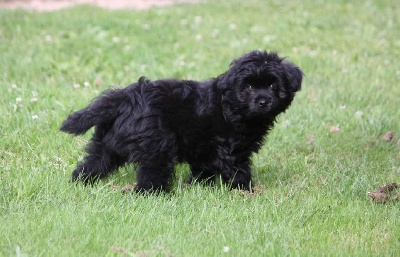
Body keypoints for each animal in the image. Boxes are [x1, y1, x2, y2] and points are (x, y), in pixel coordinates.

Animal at [61, 50, 302, 191]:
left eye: (272, 85)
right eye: (249, 86)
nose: (263, 101)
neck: (230, 103)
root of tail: (126, 97)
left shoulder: (205, 149)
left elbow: (203, 169)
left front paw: (198, 186)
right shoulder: (232, 150)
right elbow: (238, 170)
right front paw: (245, 191)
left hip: (106, 145)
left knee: (91, 164)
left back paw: (80, 184)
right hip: (157, 147)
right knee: (150, 175)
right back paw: (154, 194)